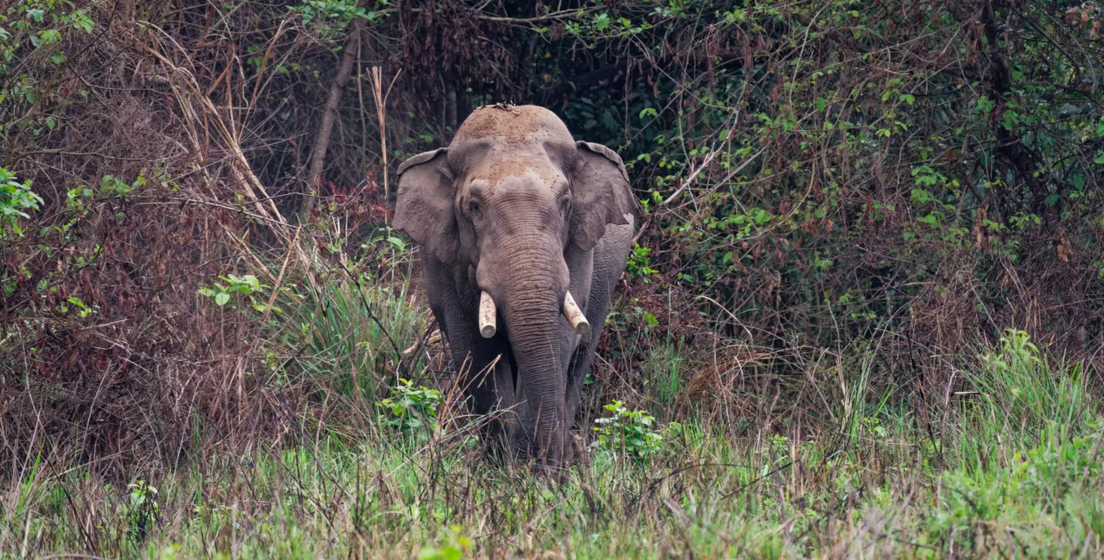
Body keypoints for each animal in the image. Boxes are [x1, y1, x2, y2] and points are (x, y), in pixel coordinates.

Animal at [393, 104, 638, 465]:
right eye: (474, 207)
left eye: (565, 202)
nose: (539, 460)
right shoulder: (442, 258)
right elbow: (475, 349)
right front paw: (503, 464)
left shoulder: (578, 248)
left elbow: (559, 337)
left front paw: (534, 464)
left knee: (579, 359)